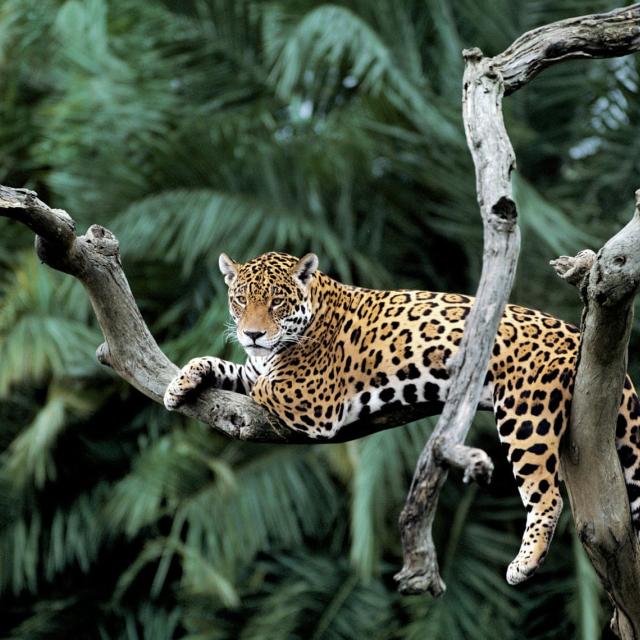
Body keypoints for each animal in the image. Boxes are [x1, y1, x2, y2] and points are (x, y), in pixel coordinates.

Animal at [164, 251, 640, 585]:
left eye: (277, 301)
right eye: (240, 299)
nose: (252, 333)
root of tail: (577, 334)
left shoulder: (312, 398)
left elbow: (264, 383)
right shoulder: (258, 367)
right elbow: (227, 366)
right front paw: (180, 382)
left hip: (527, 416)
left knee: (546, 495)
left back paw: (524, 563)